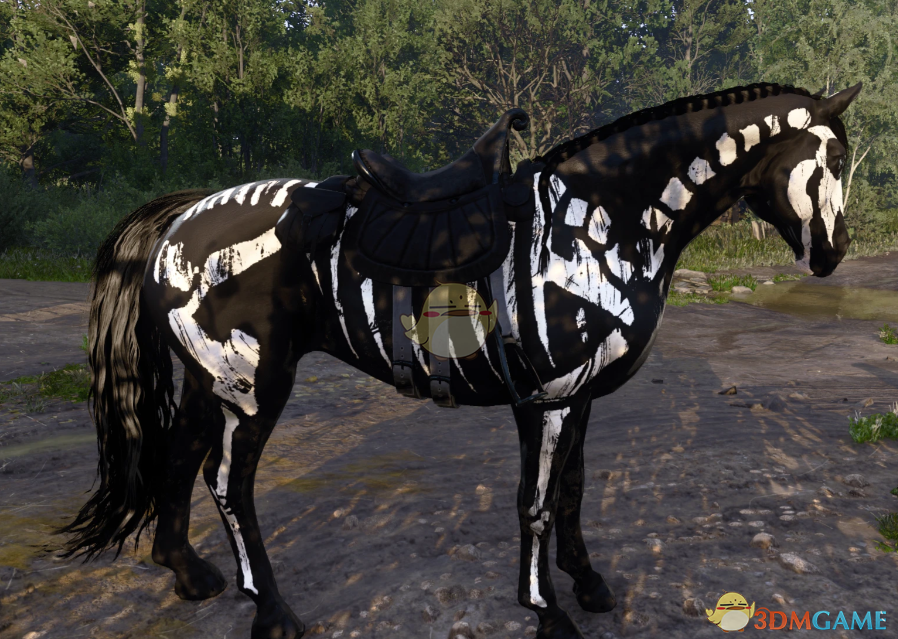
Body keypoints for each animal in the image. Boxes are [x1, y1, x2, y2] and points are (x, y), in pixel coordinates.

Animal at [59, 82, 861, 639]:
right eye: (833, 159)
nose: (834, 253)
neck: (602, 220)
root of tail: (184, 217)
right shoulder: (548, 397)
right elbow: (537, 503)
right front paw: (548, 611)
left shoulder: (578, 395)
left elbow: (573, 491)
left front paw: (589, 584)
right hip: (254, 385)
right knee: (228, 483)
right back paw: (272, 611)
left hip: (213, 380)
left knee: (176, 456)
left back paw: (187, 573)